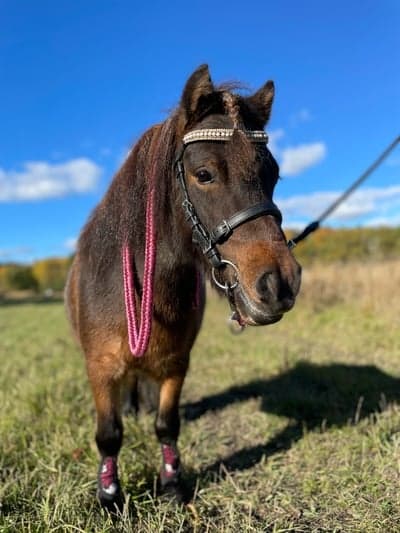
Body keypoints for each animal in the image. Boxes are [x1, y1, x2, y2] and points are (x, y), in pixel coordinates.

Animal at [65, 64, 302, 510]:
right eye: (203, 174)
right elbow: (109, 434)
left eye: (273, 175)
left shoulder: (176, 364)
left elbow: (166, 424)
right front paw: (110, 495)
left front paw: (172, 483)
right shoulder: (100, 369)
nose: (280, 282)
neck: (144, 289)